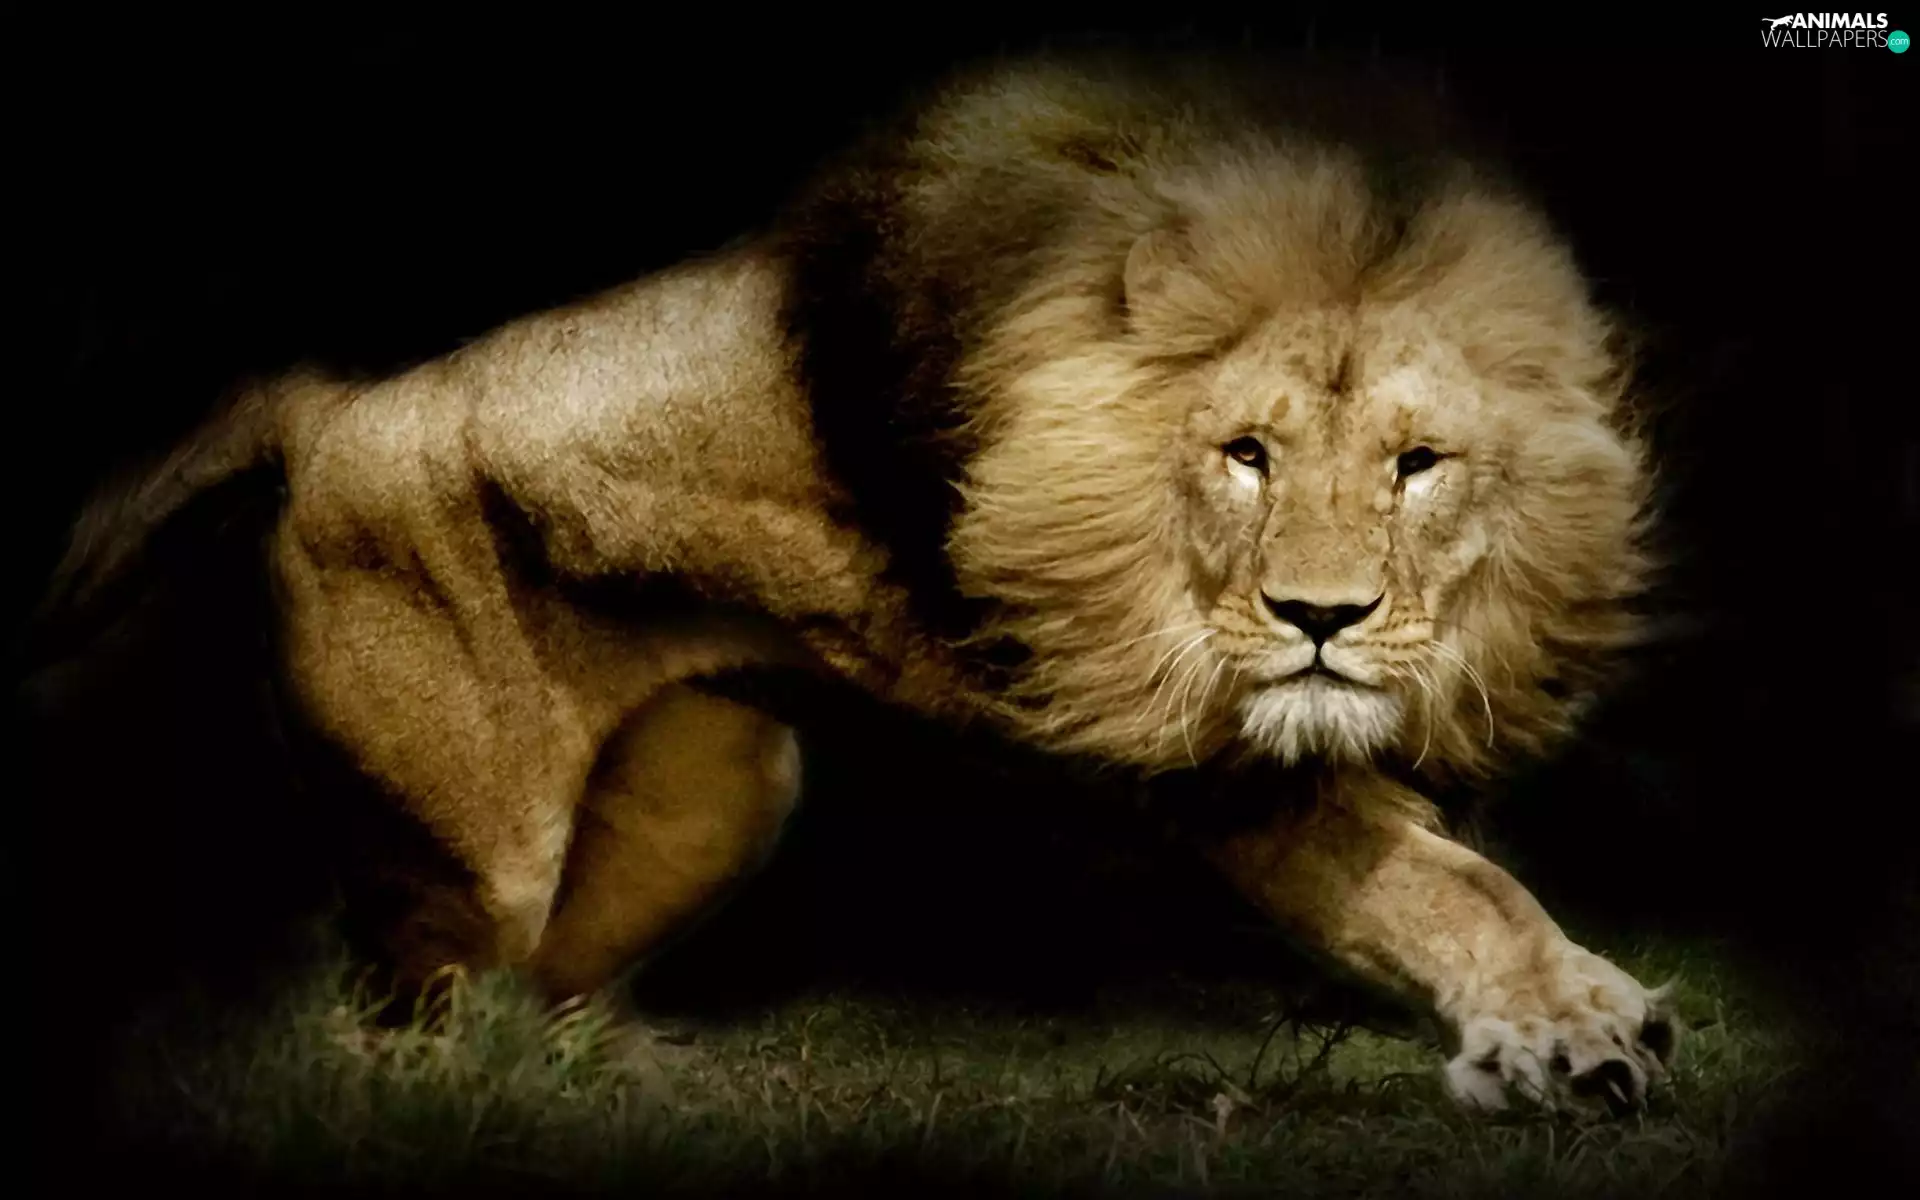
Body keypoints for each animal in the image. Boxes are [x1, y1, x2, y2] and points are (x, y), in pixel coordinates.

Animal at [31, 49, 1676, 1115]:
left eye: (1420, 464)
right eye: (1245, 455)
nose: (1321, 620)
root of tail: (321, 408)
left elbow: (1452, 853)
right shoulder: (1189, 746)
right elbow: (1443, 883)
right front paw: (1572, 1030)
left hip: (718, 789)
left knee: (535, 993)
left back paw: (625, 1083)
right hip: (468, 860)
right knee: (389, 1030)